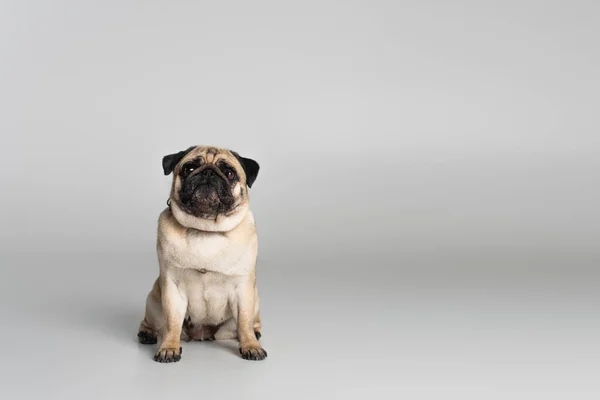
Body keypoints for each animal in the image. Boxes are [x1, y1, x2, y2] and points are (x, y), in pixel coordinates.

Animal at [138, 146, 268, 362]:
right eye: (189, 168)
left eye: (230, 173)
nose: (208, 173)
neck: (206, 230)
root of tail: (203, 334)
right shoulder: (173, 288)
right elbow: (172, 323)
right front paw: (169, 347)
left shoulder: (243, 289)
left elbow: (244, 321)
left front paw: (251, 346)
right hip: (154, 300)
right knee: (155, 323)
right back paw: (147, 333)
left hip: (254, 298)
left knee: (249, 323)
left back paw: (256, 334)